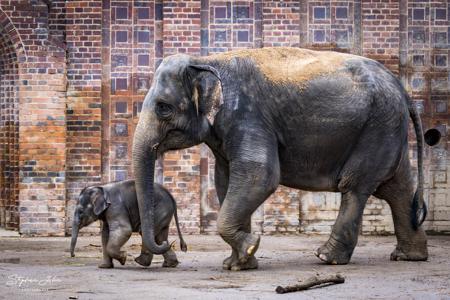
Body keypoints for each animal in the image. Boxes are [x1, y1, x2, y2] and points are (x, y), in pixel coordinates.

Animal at [132, 47, 428, 270]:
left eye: (163, 108)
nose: (174, 245)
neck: (206, 60)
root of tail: (402, 90)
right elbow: (225, 181)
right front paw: (238, 264)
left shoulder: (248, 115)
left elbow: (259, 175)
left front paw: (250, 246)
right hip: (388, 129)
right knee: (397, 188)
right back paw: (409, 257)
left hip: (377, 128)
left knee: (355, 187)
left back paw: (327, 258)